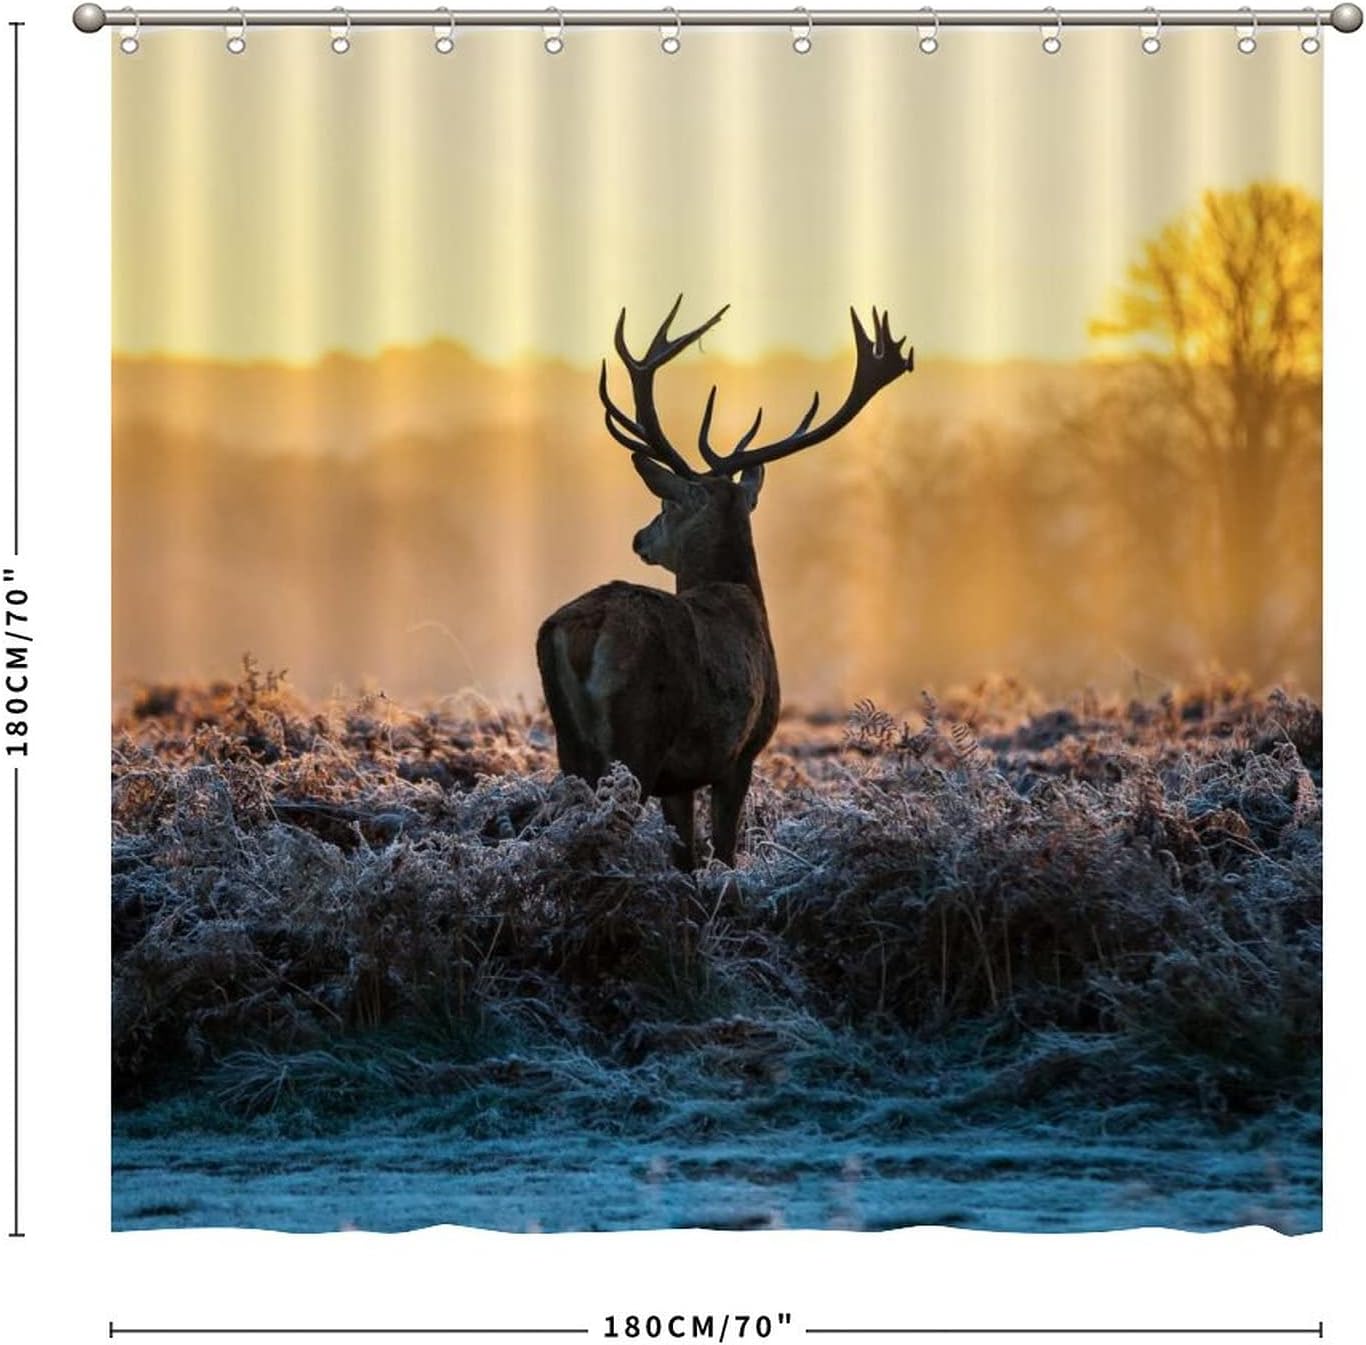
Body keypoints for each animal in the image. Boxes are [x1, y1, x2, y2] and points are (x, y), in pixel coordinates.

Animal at [536, 297, 913, 869]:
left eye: (666, 504)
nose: (639, 537)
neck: (741, 595)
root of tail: (584, 629)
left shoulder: (682, 778)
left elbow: (687, 857)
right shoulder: (739, 753)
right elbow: (724, 854)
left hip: (571, 747)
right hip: (639, 737)